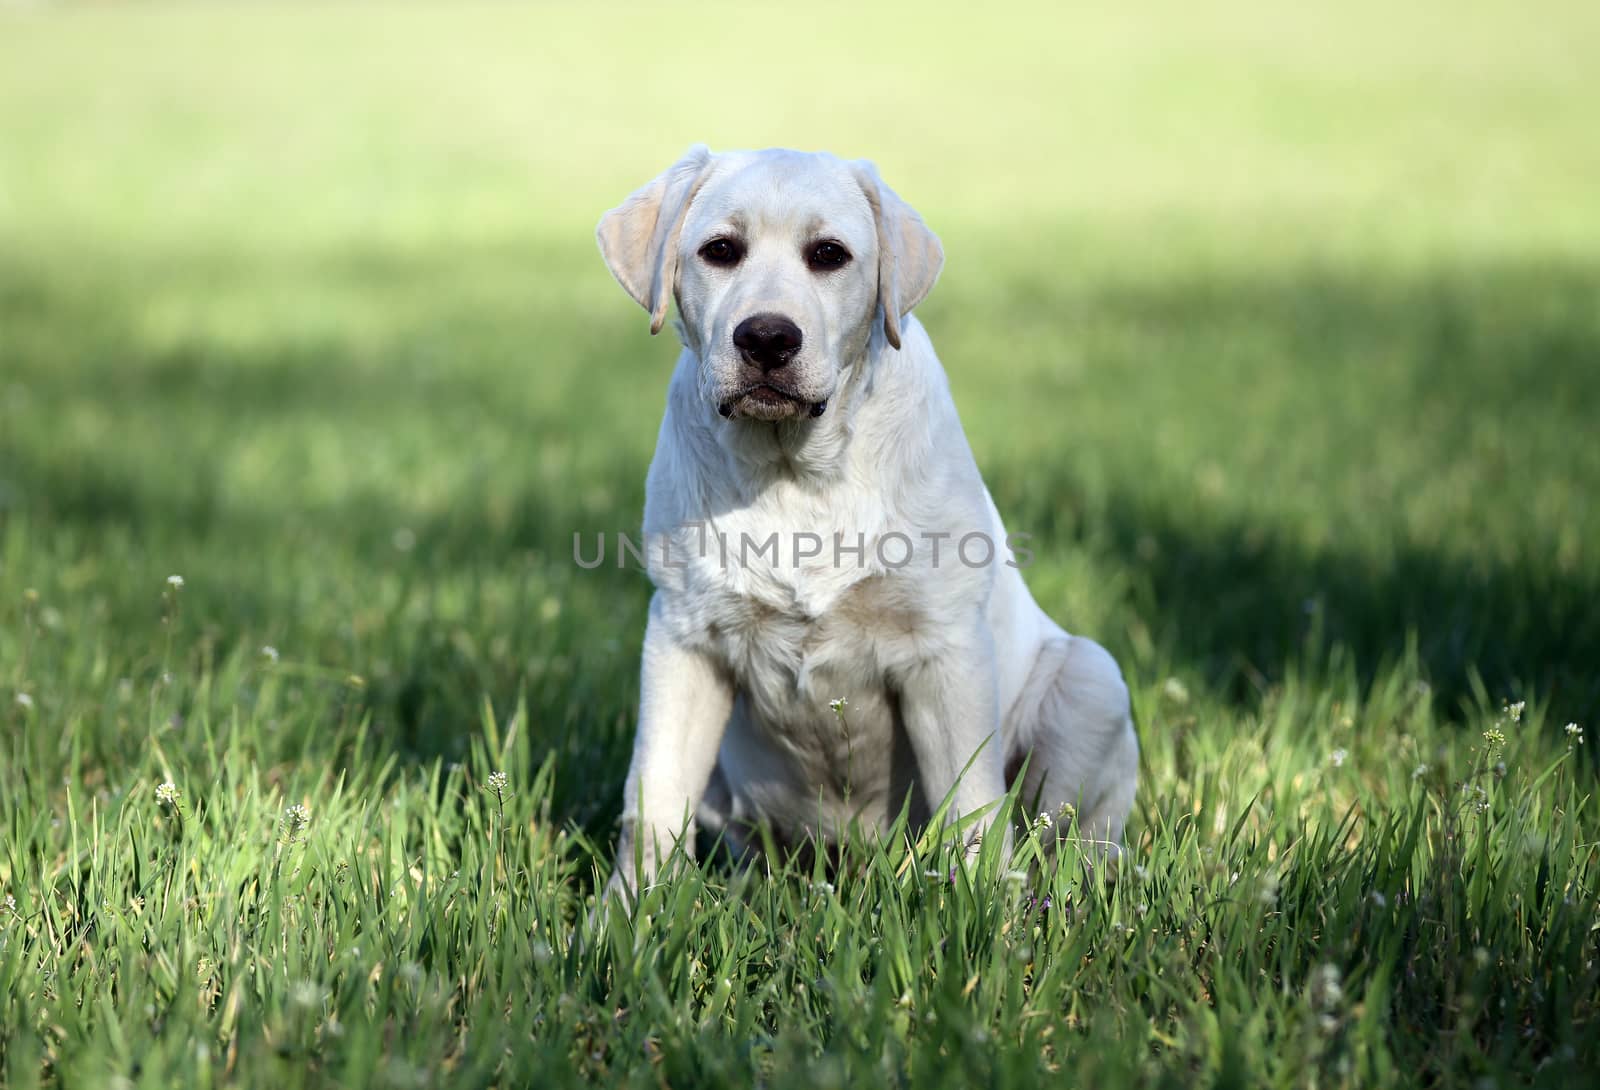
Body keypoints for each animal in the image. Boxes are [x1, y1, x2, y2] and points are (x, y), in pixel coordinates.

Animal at [598, 144, 1139, 889]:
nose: (767, 338)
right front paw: (630, 911)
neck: (794, 471)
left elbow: (973, 808)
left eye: (829, 254)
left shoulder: (944, 650)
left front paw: (985, 910)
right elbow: (652, 798)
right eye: (720, 250)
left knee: (1078, 843)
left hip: (1091, 678)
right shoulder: (683, 638)